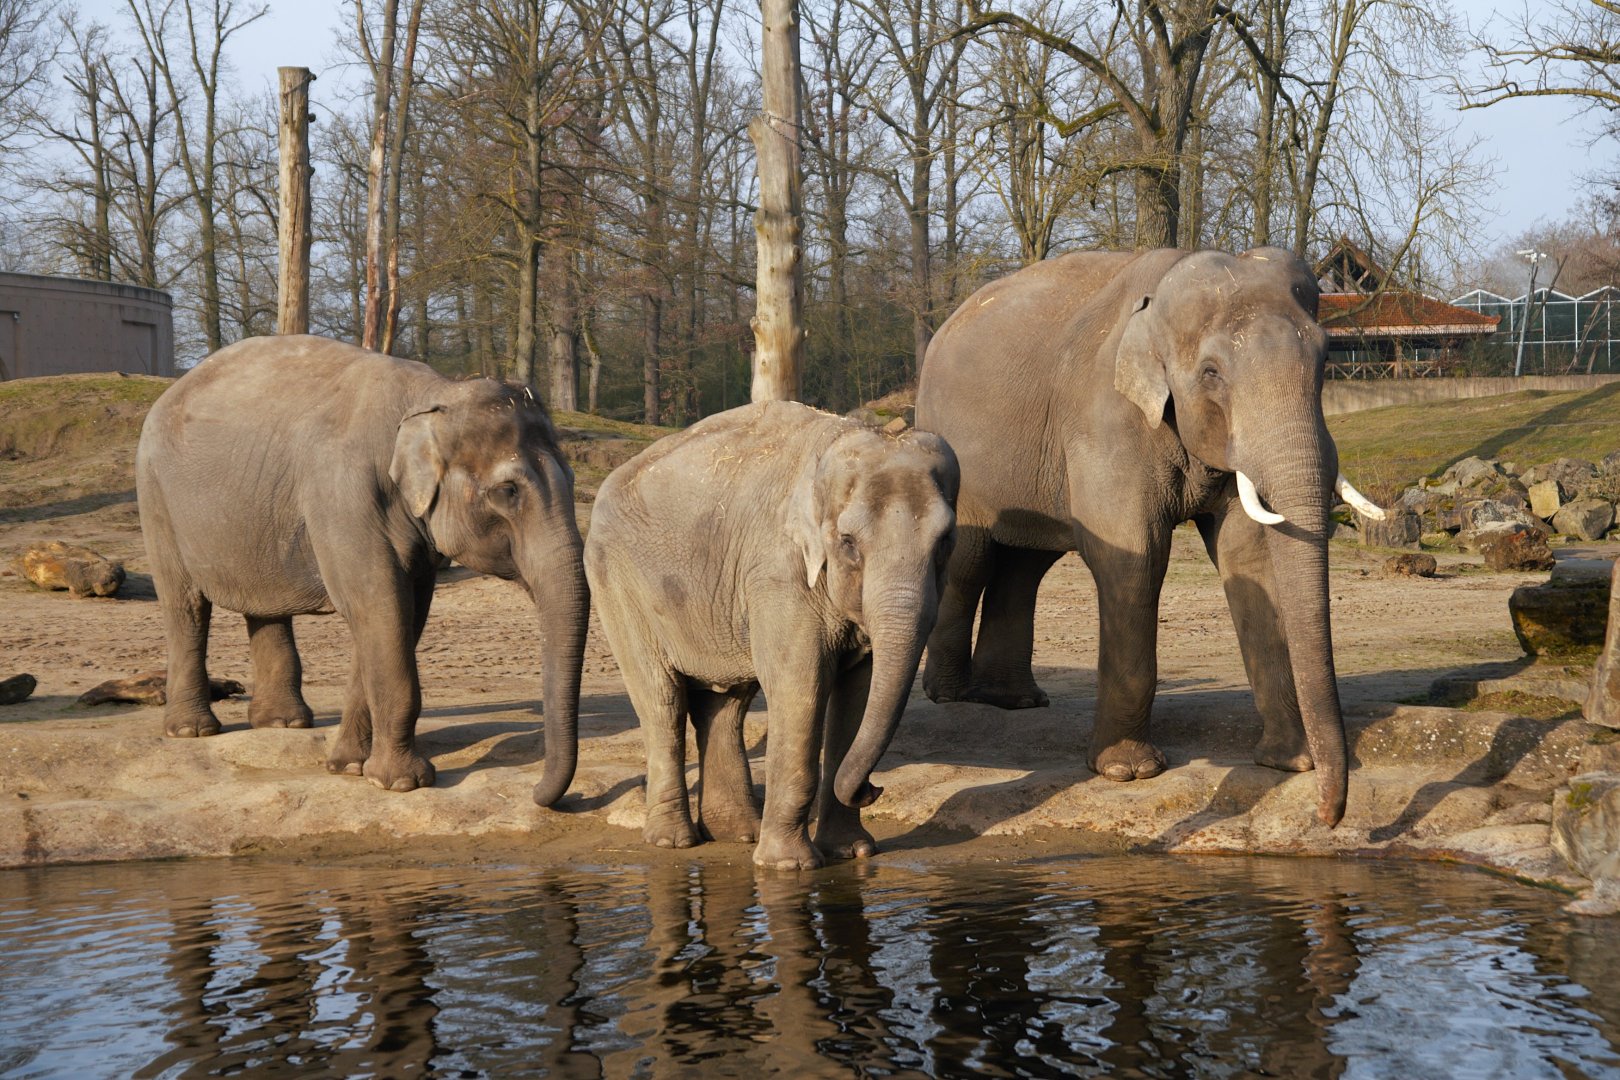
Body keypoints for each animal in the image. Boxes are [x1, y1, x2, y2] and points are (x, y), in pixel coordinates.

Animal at [135, 335, 590, 804]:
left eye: (573, 481)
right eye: (508, 491)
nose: (540, 794)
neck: (433, 395)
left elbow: (399, 614)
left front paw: (349, 767)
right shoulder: (343, 495)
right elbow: (379, 607)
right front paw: (402, 782)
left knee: (263, 607)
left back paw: (283, 722)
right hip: (154, 496)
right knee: (185, 606)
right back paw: (192, 730)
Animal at [585, 400, 959, 869]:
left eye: (945, 541)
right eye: (849, 543)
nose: (874, 789)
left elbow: (859, 691)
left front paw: (852, 852)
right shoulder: (779, 573)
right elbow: (800, 688)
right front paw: (789, 866)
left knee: (725, 706)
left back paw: (737, 833)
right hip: (617, 582)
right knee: (661, 701)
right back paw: (674, 842)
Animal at [915, 247, 1385, 827]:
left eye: (1323, 360)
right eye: (1211, 373)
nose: (1326, 816)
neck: (1164, 291)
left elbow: (1248, 556)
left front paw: (1289, 762)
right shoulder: (1107, 420)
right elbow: (1134, 559)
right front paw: (1129, 772)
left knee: (1026, 564)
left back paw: (1015, 701)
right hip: (955, 450)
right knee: (973, 559)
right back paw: (949, 696)